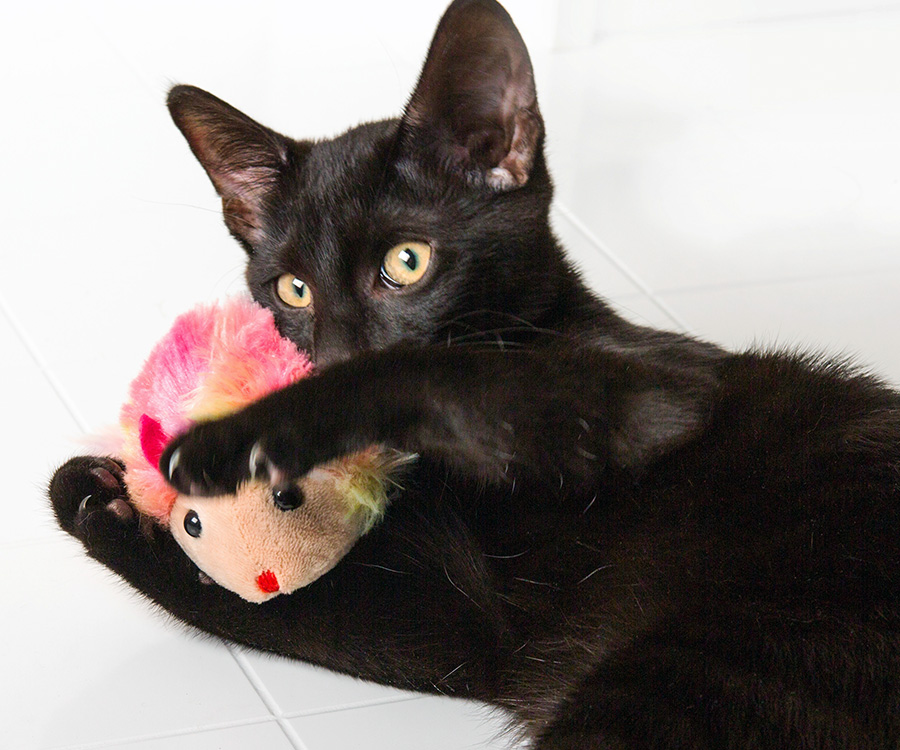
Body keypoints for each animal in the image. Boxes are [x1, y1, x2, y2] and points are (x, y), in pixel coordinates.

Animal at [49, 0, 900, 748]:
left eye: (407, 263)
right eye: (291, 290)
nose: (334, 353)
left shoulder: (661, 392)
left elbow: (435, 364)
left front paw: (234, 438)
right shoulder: (463, 629)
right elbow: (276, 608)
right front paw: (94, 499)